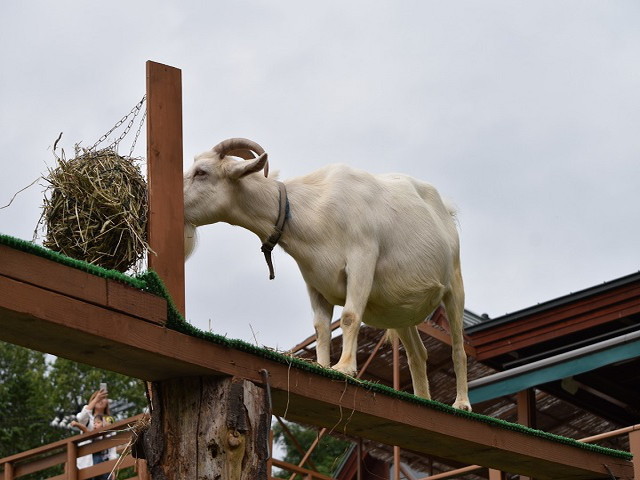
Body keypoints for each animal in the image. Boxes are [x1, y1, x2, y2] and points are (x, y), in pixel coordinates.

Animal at [184, 138, 470, 408]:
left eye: (202, 172)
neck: (310, 209)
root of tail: (446, 209)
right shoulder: (314, 279)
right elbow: (321, 326)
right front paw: (322, 366)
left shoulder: (362, 257)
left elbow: (349, 316)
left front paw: (344, 368)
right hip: (399, 311)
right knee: (418, 354)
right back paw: (423, 400)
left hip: (455, 283)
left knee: (458, 346)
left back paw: (461, 403)